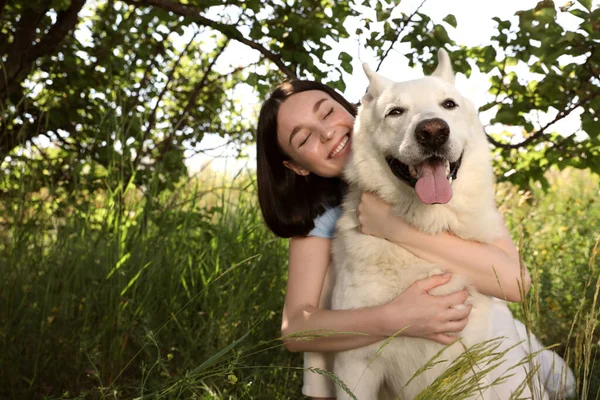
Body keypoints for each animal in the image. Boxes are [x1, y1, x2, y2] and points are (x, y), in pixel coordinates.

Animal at [330, 50, 552, 400]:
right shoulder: (354, 364)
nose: (433, 131)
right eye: (396, 112)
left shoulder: (469, 370)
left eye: (448, 104)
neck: (427, 229)